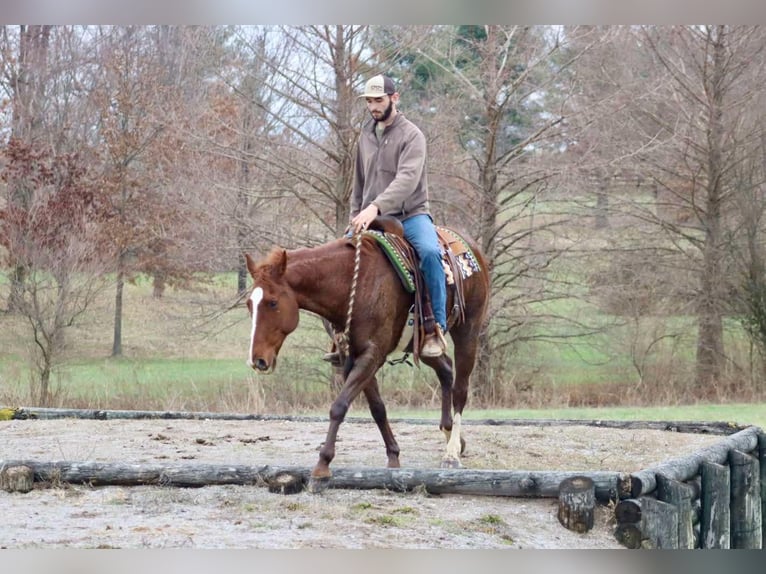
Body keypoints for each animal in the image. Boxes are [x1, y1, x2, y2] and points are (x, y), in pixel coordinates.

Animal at [244, 219, 490, 490]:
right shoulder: (352, 358)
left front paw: (322, 466)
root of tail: (472, 247)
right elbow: (377, 408)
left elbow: (339, 406)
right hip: (421, 344)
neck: (352, 285)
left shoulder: (372, 355)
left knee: (460, 389)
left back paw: (452, 452)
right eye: (249, 304)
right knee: (445, 369)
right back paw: (449, 433)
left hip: (468, 332)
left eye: (273, 302)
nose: (258, 360)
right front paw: (393, 456)